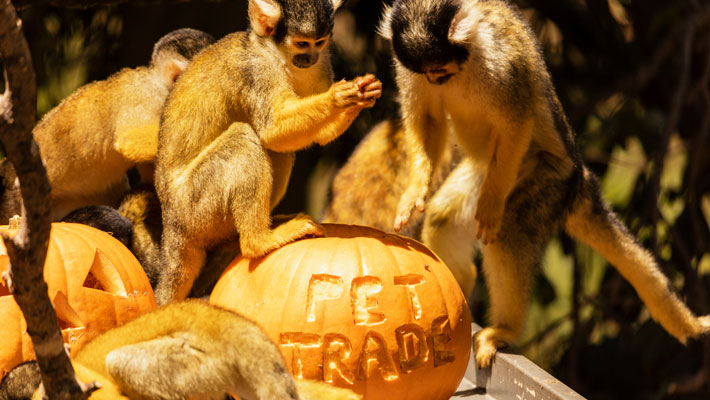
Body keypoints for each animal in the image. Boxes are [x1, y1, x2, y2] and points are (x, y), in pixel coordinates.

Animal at [156, 0, 384, 304]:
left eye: (320, 43)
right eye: (301, 44)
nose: (310, 58)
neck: (277, 55)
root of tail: (171, 223)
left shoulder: (323, 63)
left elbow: (312, 136)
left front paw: (363, 95)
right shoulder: (256, 70)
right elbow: (272, 129)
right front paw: (338, 97)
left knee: (279, 150)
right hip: (193, 207)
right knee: (245, 139)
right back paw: (259, 241)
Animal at [382, 0, 710, 368]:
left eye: (441, 68)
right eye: (429, 72)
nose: (435, 80)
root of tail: (579, 176)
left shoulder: (501, 62)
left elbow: (516, 122)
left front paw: (491, 207)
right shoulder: (407, 66)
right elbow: (426, 119)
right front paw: (415, 192)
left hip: (545, 179)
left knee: (510, 226)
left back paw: (505, 329)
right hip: (491, 173)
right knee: (444, 217)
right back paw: (460, 287)